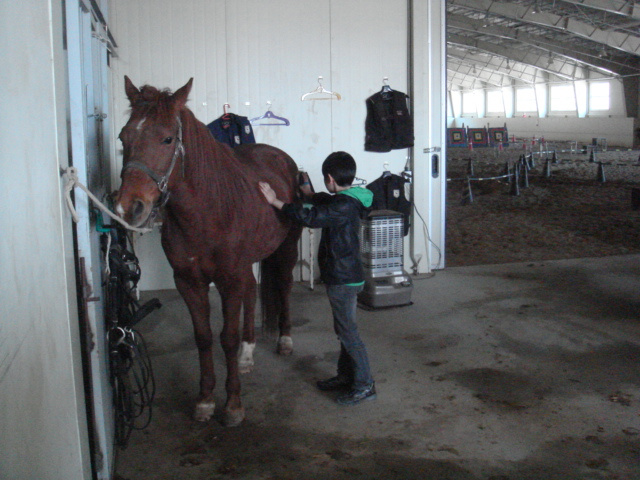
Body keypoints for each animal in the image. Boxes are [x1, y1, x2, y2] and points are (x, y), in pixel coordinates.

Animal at [115, 77, 302, 426]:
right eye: (123, 137)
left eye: (167, 138)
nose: (129, 208)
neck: (208, 210)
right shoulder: (189, 281)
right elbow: (203, 337)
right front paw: (204, 400)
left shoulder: (229, 279)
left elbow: (226, 338)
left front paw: (233, 405)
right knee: (252, 291)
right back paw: (247, 355)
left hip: (285, 249)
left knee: (283, 286)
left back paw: (284, 341)